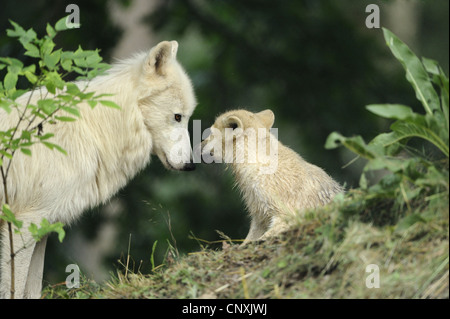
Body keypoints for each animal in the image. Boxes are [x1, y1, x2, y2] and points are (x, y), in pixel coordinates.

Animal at [0, 40, 197, 300]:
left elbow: (31, 290)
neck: (96, 128)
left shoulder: (42, 226)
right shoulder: (23, 223)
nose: (191, 165)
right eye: (177, 117)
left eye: (186, 117)